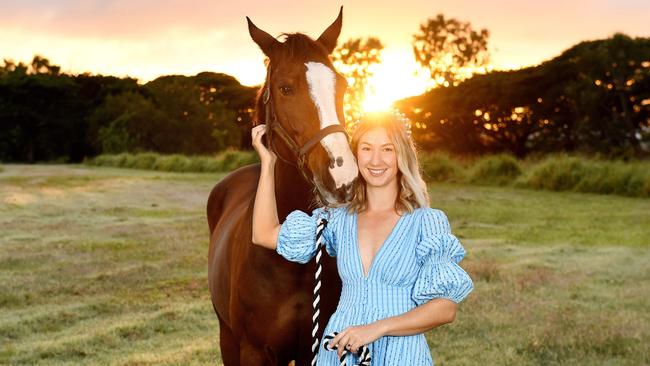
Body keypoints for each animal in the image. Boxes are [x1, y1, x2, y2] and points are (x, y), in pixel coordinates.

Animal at [206, 8, 356, 366]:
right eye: (285, 88)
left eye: (342, 86)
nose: (343, 178)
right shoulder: (254, 351)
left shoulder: (313, 350)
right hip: (226, 336)